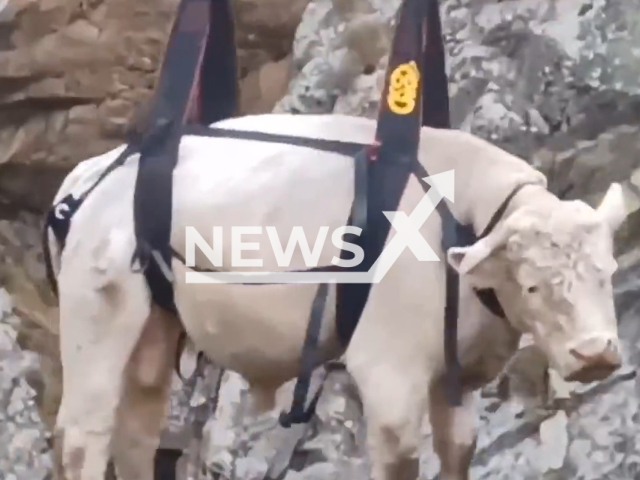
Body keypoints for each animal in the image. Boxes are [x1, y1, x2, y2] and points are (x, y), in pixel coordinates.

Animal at [47, 113, 628, 480]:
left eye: (607, 272)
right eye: (533, 284)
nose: (596, 354)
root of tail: (88, 174)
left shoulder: (460, 378)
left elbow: (458, 453)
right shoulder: (388, 367)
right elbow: (400, 461)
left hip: (154, 326)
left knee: (136, 432)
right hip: (98, 311)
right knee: (84, 433)